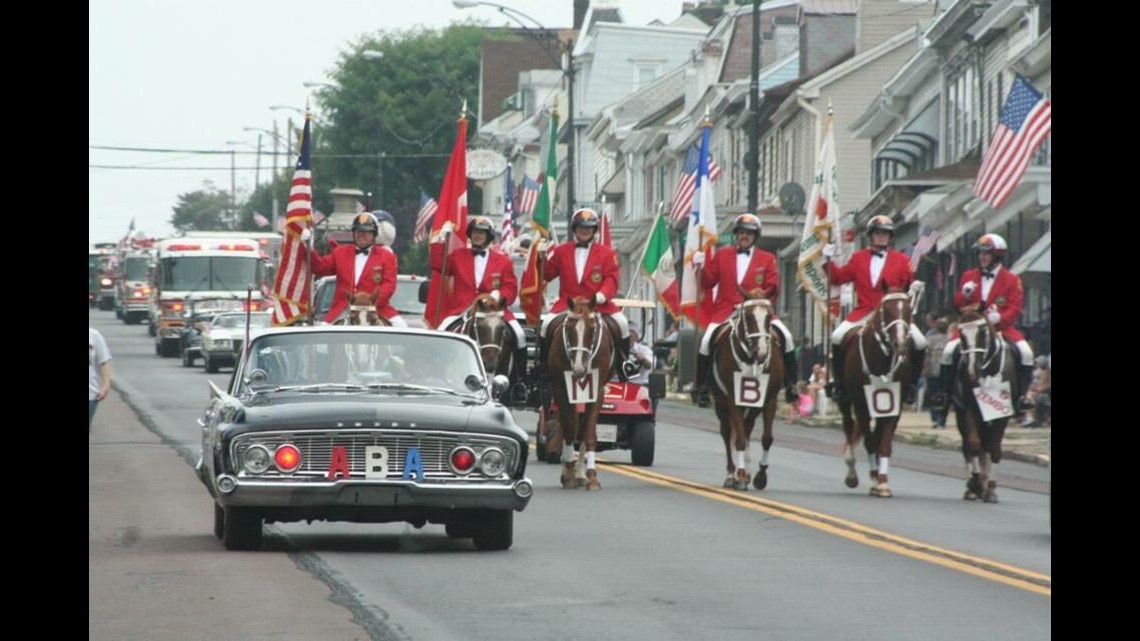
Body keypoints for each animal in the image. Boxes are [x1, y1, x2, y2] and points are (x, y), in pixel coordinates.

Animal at [544, 294, 611, 488]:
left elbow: (588, 432)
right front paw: (568, 473)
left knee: (581, 429)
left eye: (592, 329)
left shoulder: (597, 390)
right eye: (568, 329)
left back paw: (581, 474)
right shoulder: (560, 388)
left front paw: (591, 476)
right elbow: (568, 428)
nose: (580, 368)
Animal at [711, 290, 784, 488]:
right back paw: (731, 474)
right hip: (721, 404)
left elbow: (766, 438)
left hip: (752, 408)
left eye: (769, 315)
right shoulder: (733, 398)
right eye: (749, 316)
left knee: (747, 428)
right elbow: (739, 440)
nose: (762, 352)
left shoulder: (770, 399)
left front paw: (760, 475)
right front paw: (741, 474)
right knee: (727, 433)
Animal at [839, 288, 916, 495]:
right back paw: (851, 471)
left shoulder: (894, 404)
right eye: (886, 310)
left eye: (908, 310)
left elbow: (884, 443)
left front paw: (882, 482)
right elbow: (869, 442)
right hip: (846, 401)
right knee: (849, 427)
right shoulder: (861, 403)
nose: (900, 344)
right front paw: (874, 479)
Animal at [948, 307, 1021, 501]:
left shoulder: (1003, 414)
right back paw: (972, 488)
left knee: (987, 446)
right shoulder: (967, 408)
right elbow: (973, 446)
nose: (972, 370)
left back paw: (984, 484)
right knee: (968, 445)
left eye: (982, 332)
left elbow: (994, 450)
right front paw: (974, 484)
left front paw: (990, 489)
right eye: (961, 333)